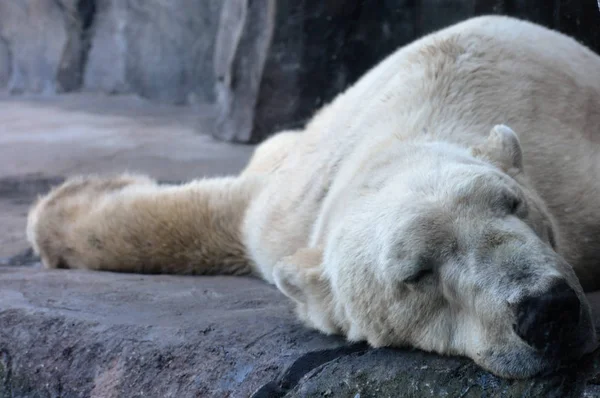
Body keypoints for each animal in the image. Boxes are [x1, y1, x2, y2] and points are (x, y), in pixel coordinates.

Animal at [24, 14, 600, 376]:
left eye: (513, 204)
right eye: (417, 274)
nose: (546, 311)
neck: (408, 130)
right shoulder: (289, 214)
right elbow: (217, 219)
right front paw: (64, 202)